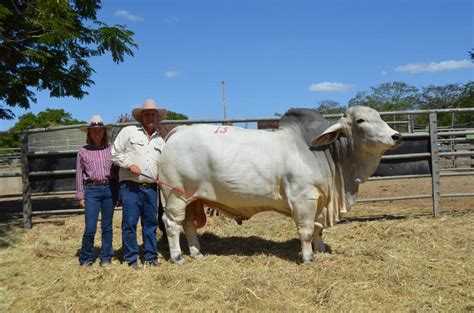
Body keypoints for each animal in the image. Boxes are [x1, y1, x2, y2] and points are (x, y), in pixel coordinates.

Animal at [158, 106, 400, 262]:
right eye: (360, 121)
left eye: (380, 116)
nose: (396, 136)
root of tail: (178, 131)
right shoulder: (304, 199)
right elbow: (306, 231)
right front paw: (308, 257)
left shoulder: (320, 201)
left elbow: (318, 229)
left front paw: (320, 250)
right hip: (175, 196)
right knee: (171, 224)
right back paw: (177, 258)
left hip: (192, 198)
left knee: (188, 225)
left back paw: (197, 254)